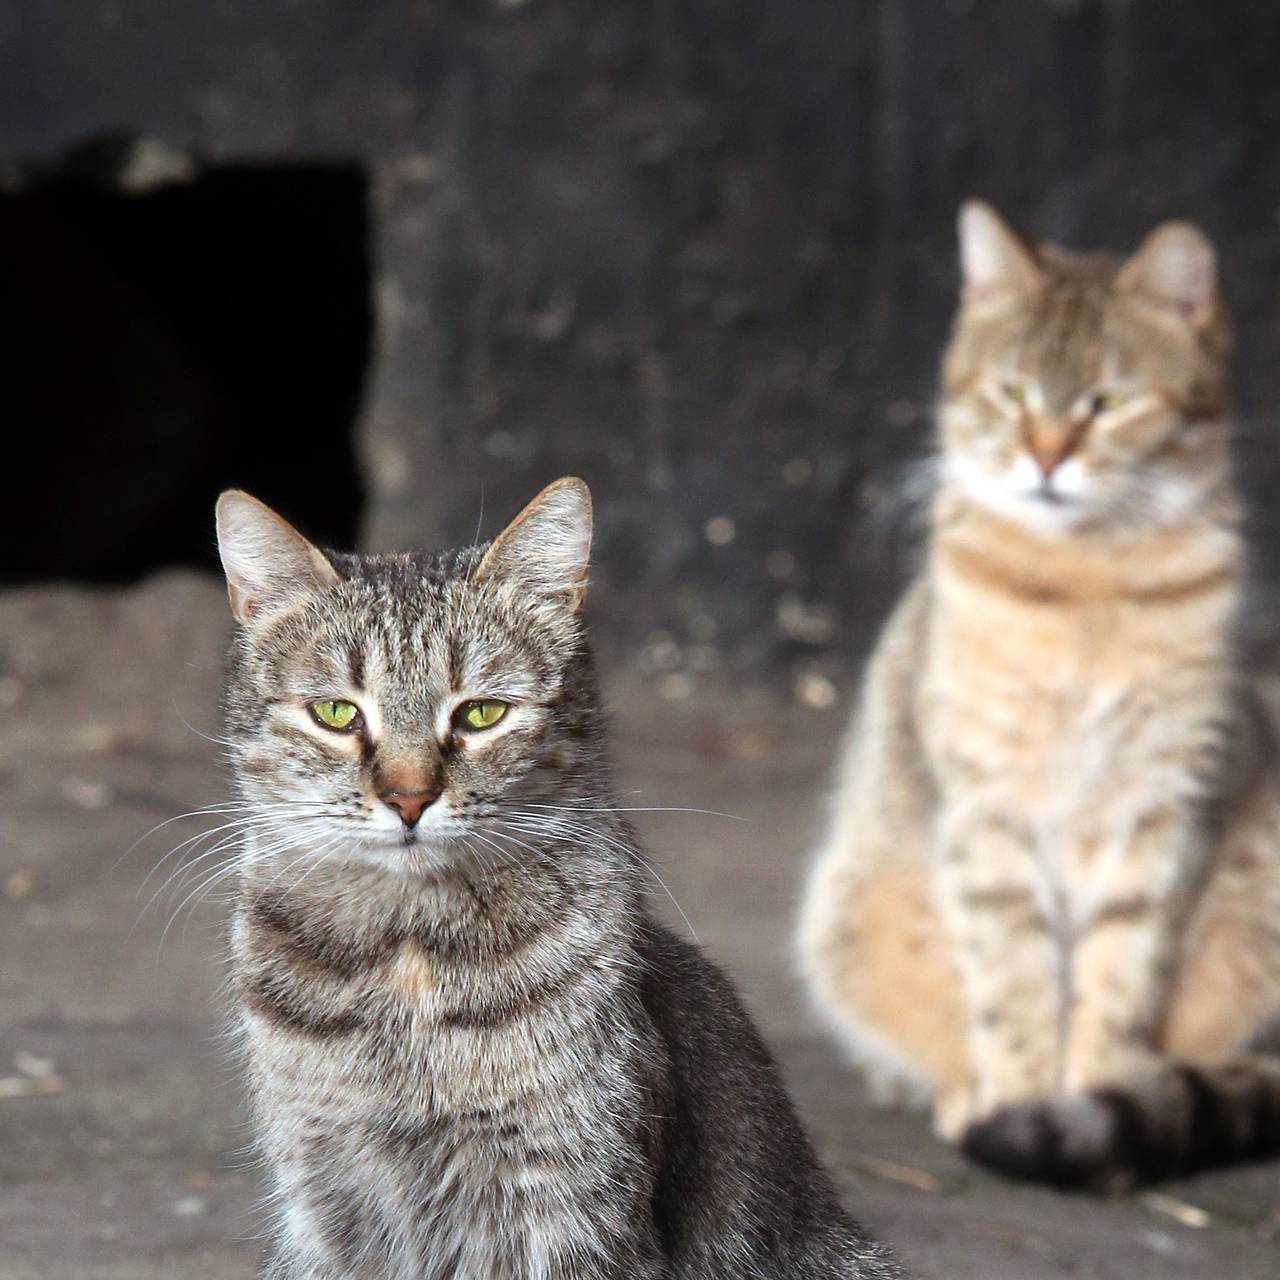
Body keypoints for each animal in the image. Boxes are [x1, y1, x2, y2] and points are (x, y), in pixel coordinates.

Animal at [212, 481, 901, 1280]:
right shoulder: (321, 1201)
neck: (408, 962)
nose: (409, 799)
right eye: (335, 712)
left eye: (482, 712)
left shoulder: (574, 1200)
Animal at [798, 199, 1280, 1187]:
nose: (1047, 459)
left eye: (1108, 403)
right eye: (1015, 393)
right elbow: (1014, 979)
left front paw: (1088, 1098)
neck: (1084, 588)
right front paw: (1019, 1102)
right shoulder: (989, 810)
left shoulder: (1161, 806)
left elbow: (1117, 979)